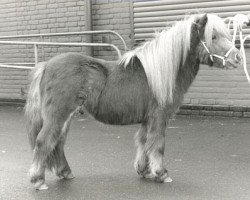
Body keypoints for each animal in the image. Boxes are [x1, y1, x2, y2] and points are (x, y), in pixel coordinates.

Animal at [24, 13, 242, 190]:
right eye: (213, 37)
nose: (238, 58)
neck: (161, 72)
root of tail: (46, 65)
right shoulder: (159, 117)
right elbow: (157, 144)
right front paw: (161, 173)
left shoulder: (147, 119)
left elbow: (144, 142)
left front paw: (144, 170)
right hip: (58, 115)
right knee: (44, 142)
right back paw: (38, 180)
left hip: (65, 117)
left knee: (58, 143)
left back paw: (65, 172)